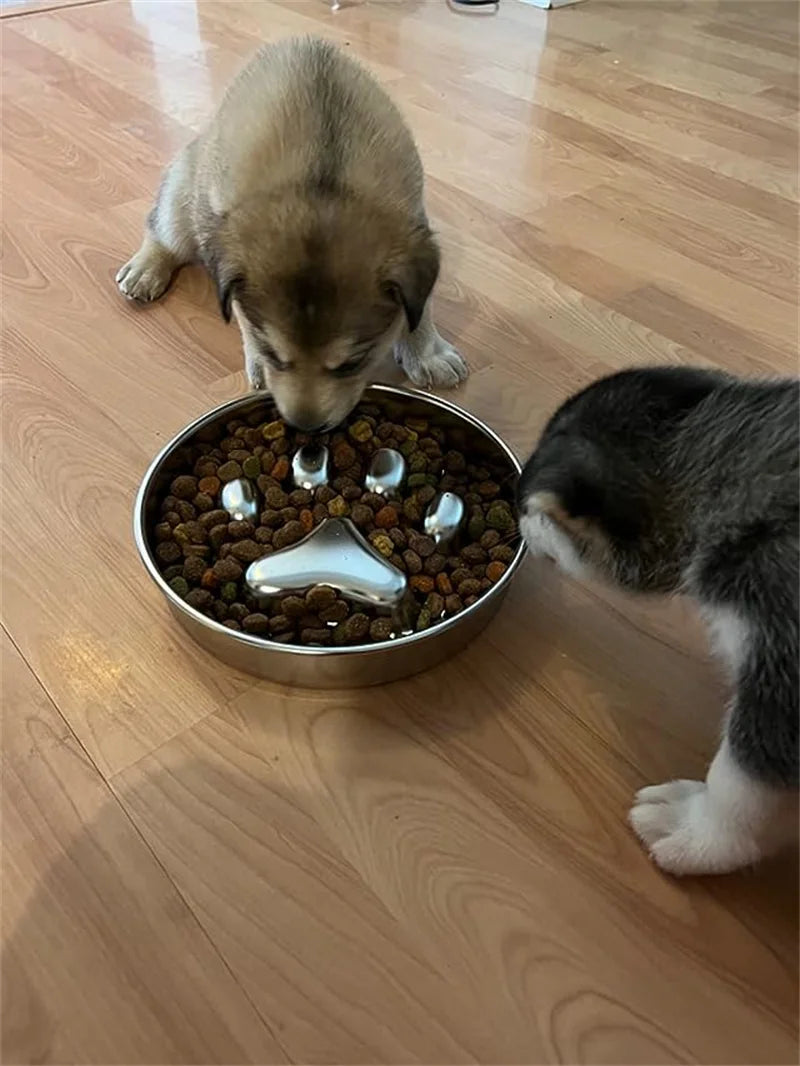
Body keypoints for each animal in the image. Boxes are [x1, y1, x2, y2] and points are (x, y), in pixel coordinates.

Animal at [115, 37, 467, 428]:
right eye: (273, 354)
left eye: (351, 364)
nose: (305, 425)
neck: (320, 181)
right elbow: (242, 315)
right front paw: (255, 359)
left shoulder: (416, 224)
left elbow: (421, 307)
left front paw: (427, 352)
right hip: (182, 197)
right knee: (162, 232)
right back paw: (145, 270)